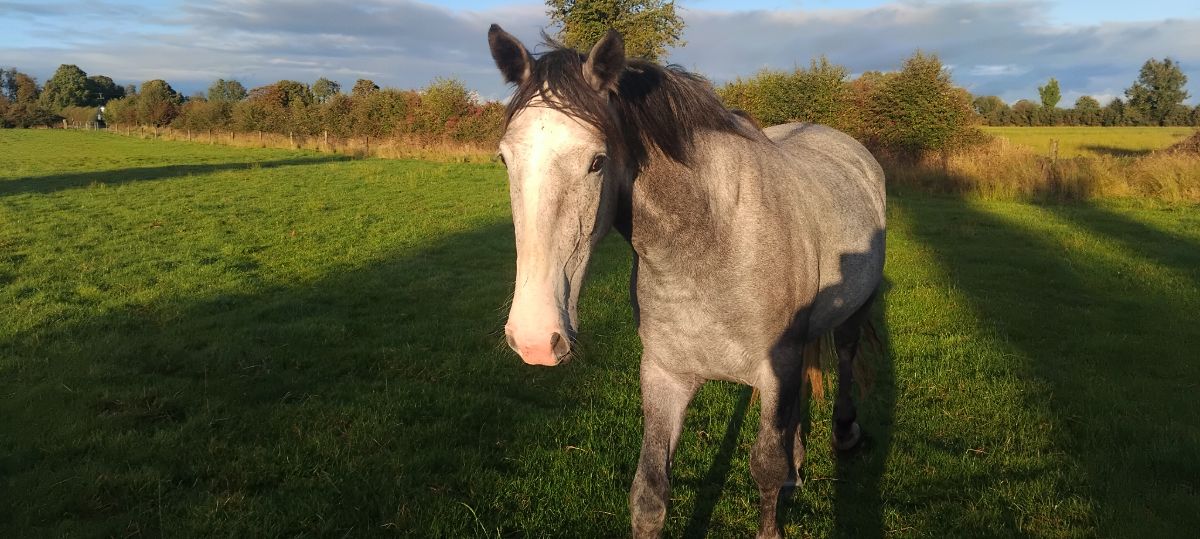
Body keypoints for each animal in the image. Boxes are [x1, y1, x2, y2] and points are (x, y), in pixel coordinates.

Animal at [487, 25, 886, 538]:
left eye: (597, 161)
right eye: (504, 159)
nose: (535, 339)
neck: (709, 245)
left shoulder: (776, 367)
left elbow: (765, 468)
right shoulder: (665, 374)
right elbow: (650, 494)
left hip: (855, 312)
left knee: (846, 357)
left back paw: (844, 431)